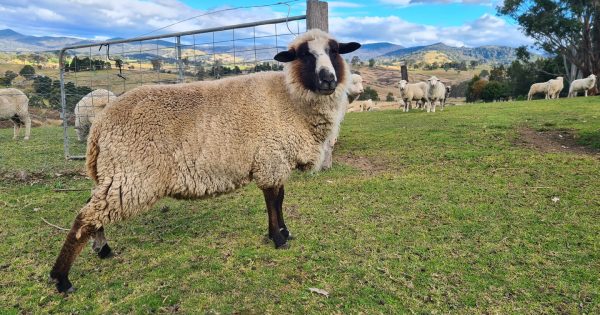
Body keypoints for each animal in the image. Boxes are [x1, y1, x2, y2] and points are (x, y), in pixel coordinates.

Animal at [48, 29, 360, 294]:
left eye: (334, 51)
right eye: (305, 54)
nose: (328, 79)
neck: (290, 99)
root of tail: (100, 126)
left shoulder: (276, 161)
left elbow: (280, 199)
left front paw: (285, 232)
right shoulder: (270, 158)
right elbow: (273, 201)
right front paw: (278, 238)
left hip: (116, 173)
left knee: (92, 209)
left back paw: (101, 249)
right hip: (133, 176)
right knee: (85, 217)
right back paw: (62, 279)